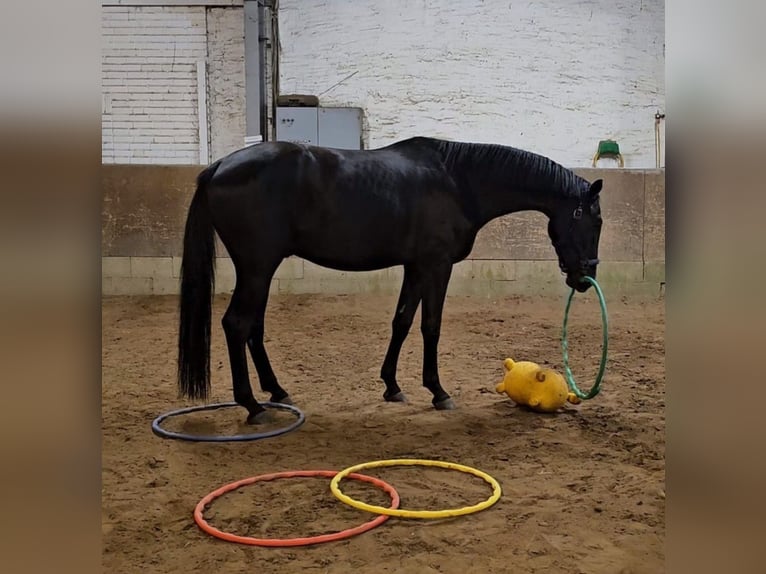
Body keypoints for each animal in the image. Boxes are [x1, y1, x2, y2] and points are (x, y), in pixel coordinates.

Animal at [177, 136, 603, 424]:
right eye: (593, 221)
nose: (585, 278)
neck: (458, 181)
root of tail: (217, 167)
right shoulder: (436, 265)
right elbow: (431, 326)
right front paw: (438, 392)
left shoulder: (414, 267)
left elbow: (402, 321)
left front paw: (392, 386)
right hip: (257, 267)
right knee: (236, 324)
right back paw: (252, 406)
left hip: (260, 270)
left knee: (254, 328)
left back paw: (277, 392)